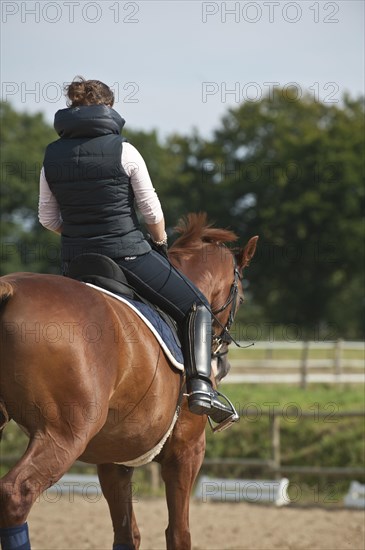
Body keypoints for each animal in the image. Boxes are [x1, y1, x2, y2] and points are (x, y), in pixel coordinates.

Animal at [0, 213, 256, 548]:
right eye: (241, 296)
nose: (222, 364)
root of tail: (10, 290)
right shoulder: (187, 451)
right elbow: (178, 534)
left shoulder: (114, 459)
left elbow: (127, 534)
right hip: (62, 435)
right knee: (16, 494)